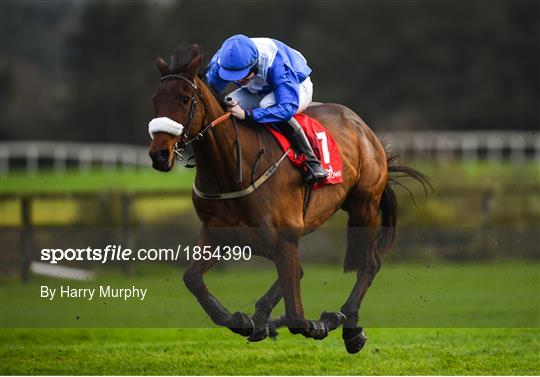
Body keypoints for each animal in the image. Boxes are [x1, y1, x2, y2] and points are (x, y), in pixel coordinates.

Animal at [149, 44, 430, 352]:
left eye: (185, 99)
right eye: (155, 99)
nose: (159, 154)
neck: (234, 169)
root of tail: (363, 126)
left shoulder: (283, 236)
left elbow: (297, 315)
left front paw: (324, 322)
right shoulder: (220, 233)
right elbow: (192, 278)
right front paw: (242, 320)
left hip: (364, 205)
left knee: (369, 264)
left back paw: (351, 327)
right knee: (301, 271)